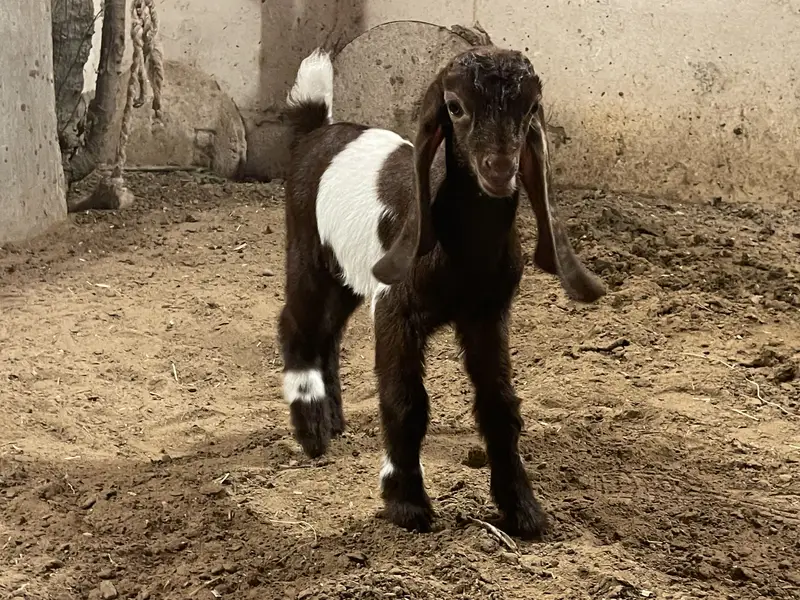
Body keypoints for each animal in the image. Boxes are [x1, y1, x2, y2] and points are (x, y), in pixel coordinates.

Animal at [277, 45, 606, 539]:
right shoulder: (395, 309)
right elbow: (405, 401)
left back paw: (333, 420)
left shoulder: (487, 314)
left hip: (349, 270)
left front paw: (522, 510)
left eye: (531, 109)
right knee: (296, 323)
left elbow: (500, 405)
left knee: (329, 331)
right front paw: (406, 503)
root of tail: (318, 130)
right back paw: (312, 428)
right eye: (454, 107)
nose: (500, 170)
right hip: (307, 248)